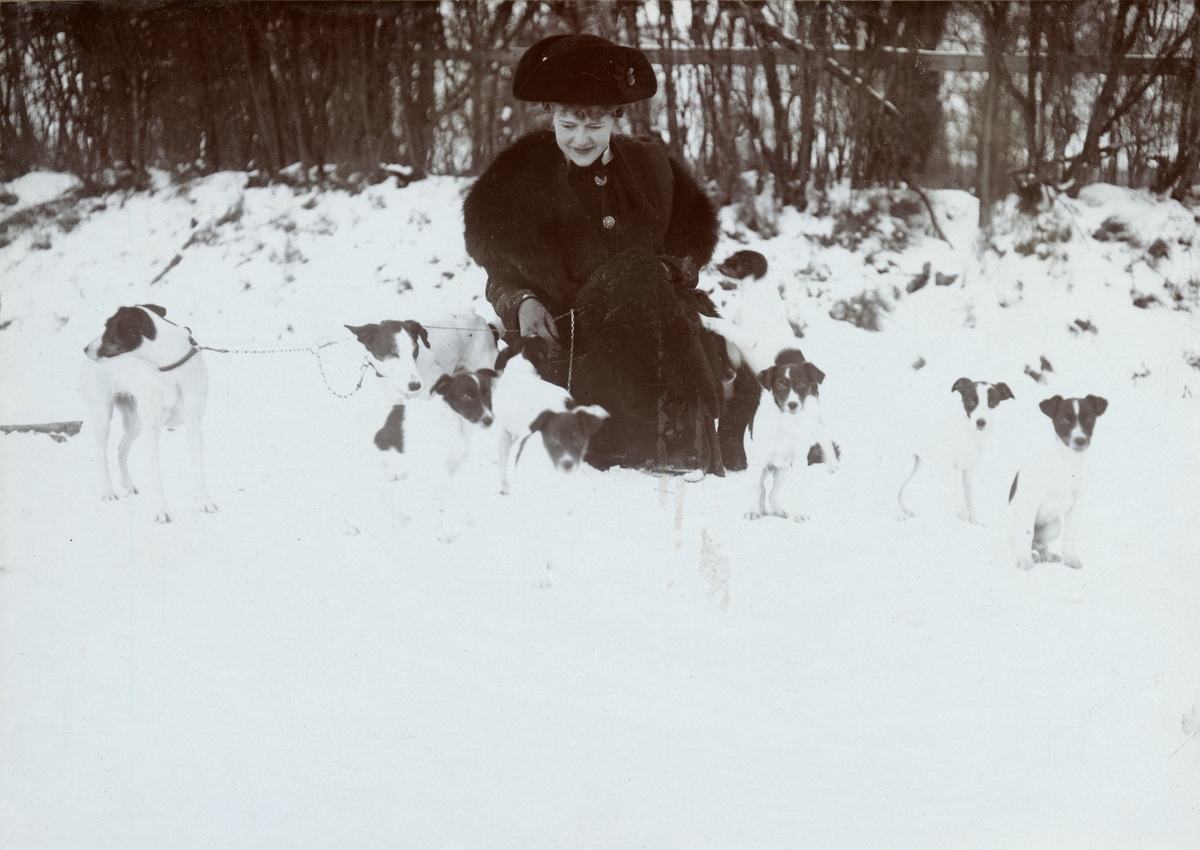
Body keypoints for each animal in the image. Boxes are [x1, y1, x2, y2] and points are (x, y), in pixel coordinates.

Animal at [80, 304, 216, 523]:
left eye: (108, 328)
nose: (85, 349)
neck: (168, 367)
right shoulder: (151, 431)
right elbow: (156, 476)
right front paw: (161, 510)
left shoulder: (194, 425)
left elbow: (199, 467)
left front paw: (204, 501)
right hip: (103, 416)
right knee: (101, 455)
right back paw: (108, 491)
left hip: (135, 422)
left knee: (121, 449)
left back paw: (127, 485)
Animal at [744, 348, 838, 521]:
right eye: (780, 384)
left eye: (802, 383)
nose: (792, 404)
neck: (786, 424)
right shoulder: (758, 462)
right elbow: (755, 489)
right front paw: (752, 511)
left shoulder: (799, 461)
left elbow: (796, 490)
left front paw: (798, 514)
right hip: (757, 466)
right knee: (761, 488)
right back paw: (760, 508)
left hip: (782, 471)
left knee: (772, 492)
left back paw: (776, 510)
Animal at [897, 377, 1015, 524]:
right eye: (970, 401)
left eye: (992, 403)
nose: (981, 422)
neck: (968, 433)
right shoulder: (947, 467)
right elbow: (958, 494)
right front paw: (963, 517)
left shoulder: (970, 472)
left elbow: (971, 499)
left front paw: (975, 522)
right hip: (905, 464)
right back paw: (898, 514)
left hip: (917, 464)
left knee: (901, 490)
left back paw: (906, 510)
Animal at [1008, 394, 1108, 570]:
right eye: (1064, 419)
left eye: (1089, 418)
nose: (1080, 440)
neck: (1068, 463)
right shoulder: (1031, 503)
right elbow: (1026, 534)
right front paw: (1025, 560)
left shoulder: (1075, 506)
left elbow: (1070, 536)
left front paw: (1070, 558)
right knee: (1019, 543)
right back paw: (1026, 555)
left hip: (1053, 527)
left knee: (1040, 544)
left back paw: (1045, 554)